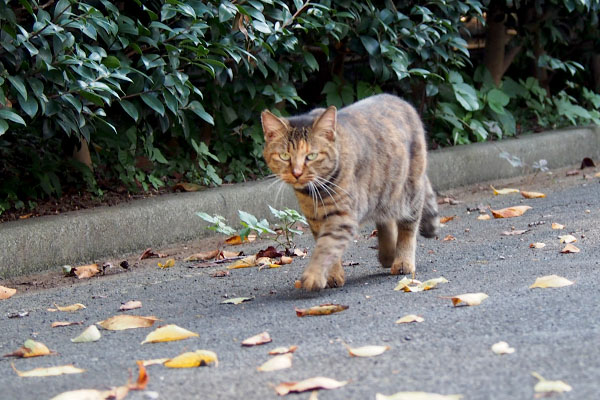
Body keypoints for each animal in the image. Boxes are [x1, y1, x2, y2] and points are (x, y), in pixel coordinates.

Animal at [260, 94, 438, 290]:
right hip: (384, 191)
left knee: (408, 227)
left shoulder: (342, 216)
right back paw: (388, 253)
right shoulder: (315, 219)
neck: (315, 193)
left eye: (311, 156)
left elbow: (326, 247)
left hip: (409, 190)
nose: (297, 173)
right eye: (285, 156)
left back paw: (403, 261)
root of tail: (402, 101)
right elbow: (327, 247)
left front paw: (314, 274)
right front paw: (333, 274)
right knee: (385, 219)